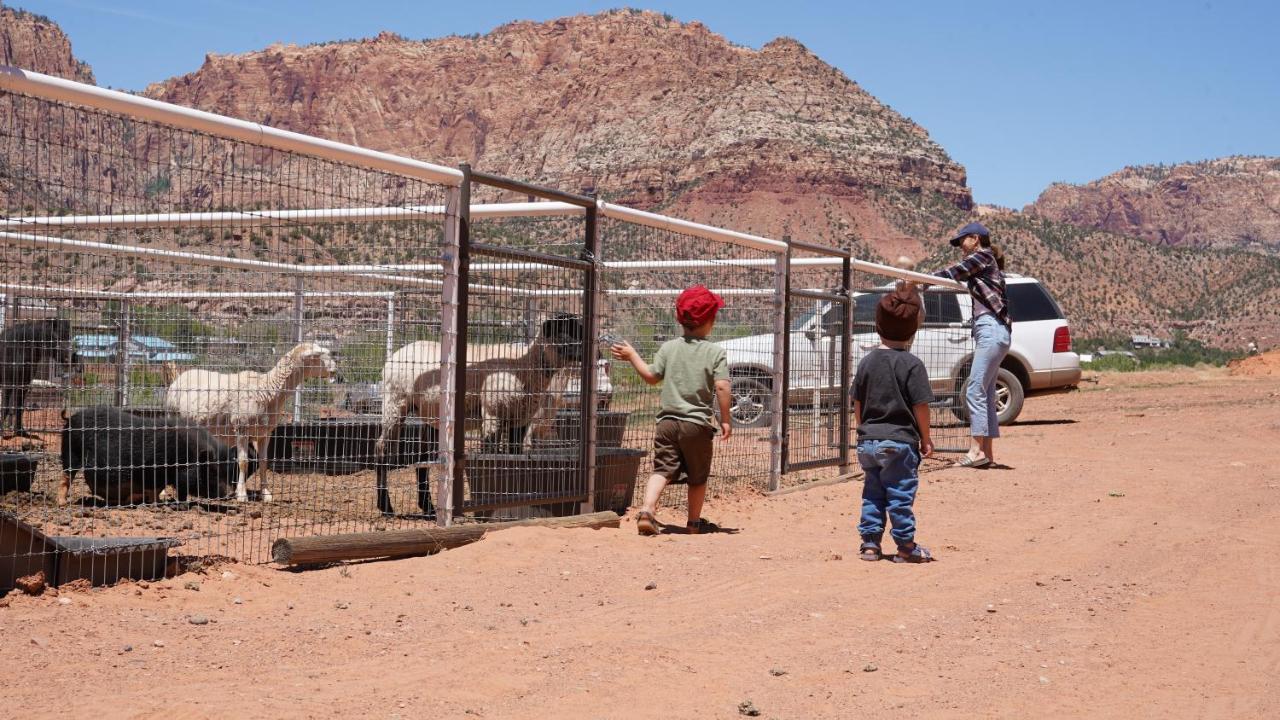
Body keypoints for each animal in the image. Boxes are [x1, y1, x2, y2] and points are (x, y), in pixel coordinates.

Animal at [163, 340, 335, 499]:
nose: (335, 370)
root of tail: (180, 376)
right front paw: (241, 494)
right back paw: (166, 491)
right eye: (318, 355)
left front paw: (265, 493)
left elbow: (264, 462)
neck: (267, 389)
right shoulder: (241, 429)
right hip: (172, 415)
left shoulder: (265, 433)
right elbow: (243, 462)